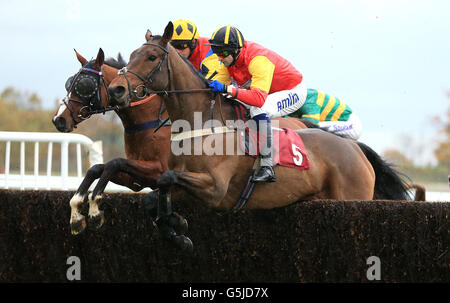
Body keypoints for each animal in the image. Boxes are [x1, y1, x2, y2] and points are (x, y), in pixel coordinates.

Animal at [51, 49, 172, 235]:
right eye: (69, 83)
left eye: (84, 86)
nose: (59, 119)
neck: (151, 121)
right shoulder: (136, 180)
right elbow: (97, 168)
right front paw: (77, 215)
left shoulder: (161, 170)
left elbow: (114, 163)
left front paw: (94, 209)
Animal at [107, 22, 414, 253]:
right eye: (132, 55)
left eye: (151, 57)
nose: (117, 89)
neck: (201, 122)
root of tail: (356, 149)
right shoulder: (190, 185)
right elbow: (156, 193)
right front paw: (177, 230)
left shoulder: (215, 187)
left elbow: (165, 180)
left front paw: (177, 228)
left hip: (352, 199)